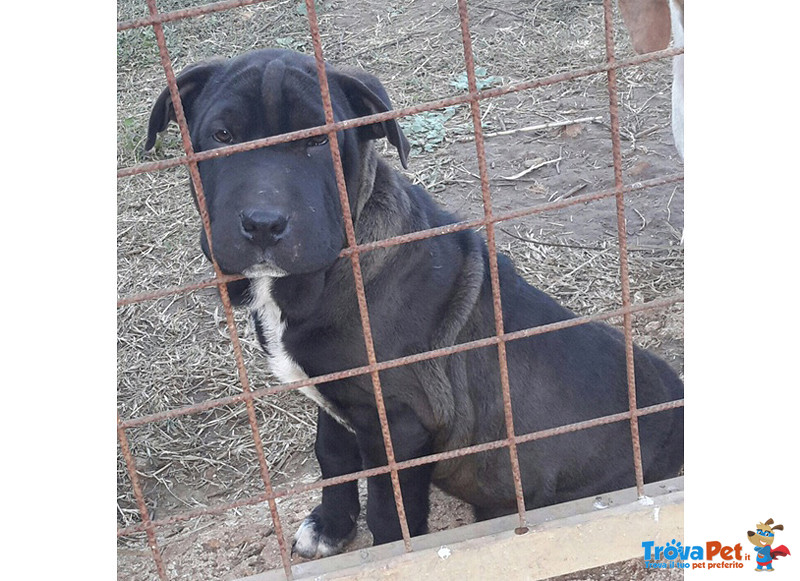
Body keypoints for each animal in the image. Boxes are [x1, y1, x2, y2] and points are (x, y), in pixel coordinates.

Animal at [145, 49, 680, 556]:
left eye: (319, 141)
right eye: (221, 135)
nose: (262, 224)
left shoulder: (400, 425)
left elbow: (390, 511)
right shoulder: (339, 399)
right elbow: (332, 456)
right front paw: (330, 527)